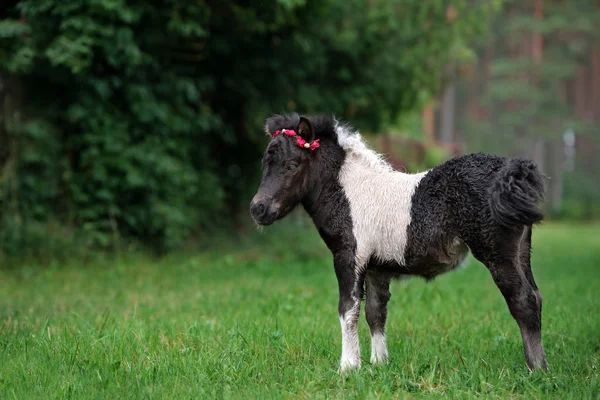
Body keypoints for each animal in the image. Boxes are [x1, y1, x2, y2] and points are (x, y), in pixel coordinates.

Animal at [248, 112, 548, 372]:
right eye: (264, 164)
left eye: (292, 165)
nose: (258, 209)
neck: (349, 192)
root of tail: (510, 171)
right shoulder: (376, 267)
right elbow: (375, 312)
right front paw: (378, 363)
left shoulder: (348, 257)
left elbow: (348, 309)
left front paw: (348, 367)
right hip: (522, 252)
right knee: (535, 296)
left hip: (496, 253)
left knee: (522, 300)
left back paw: (536, 369)